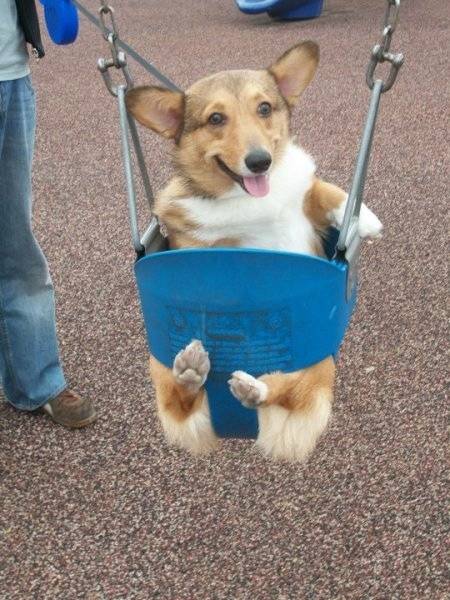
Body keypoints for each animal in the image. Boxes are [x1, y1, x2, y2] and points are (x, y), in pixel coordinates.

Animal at [125, 42, 382, 462]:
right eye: (215, 118)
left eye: (264, 108)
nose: (260, 161)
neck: (249, 198)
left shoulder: (304, 201)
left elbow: (326, 191)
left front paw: (366, 220)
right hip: (159, 365)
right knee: (182, 401)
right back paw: (193, 372)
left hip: (320, 365)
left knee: (284, 391)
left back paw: (250, 388)